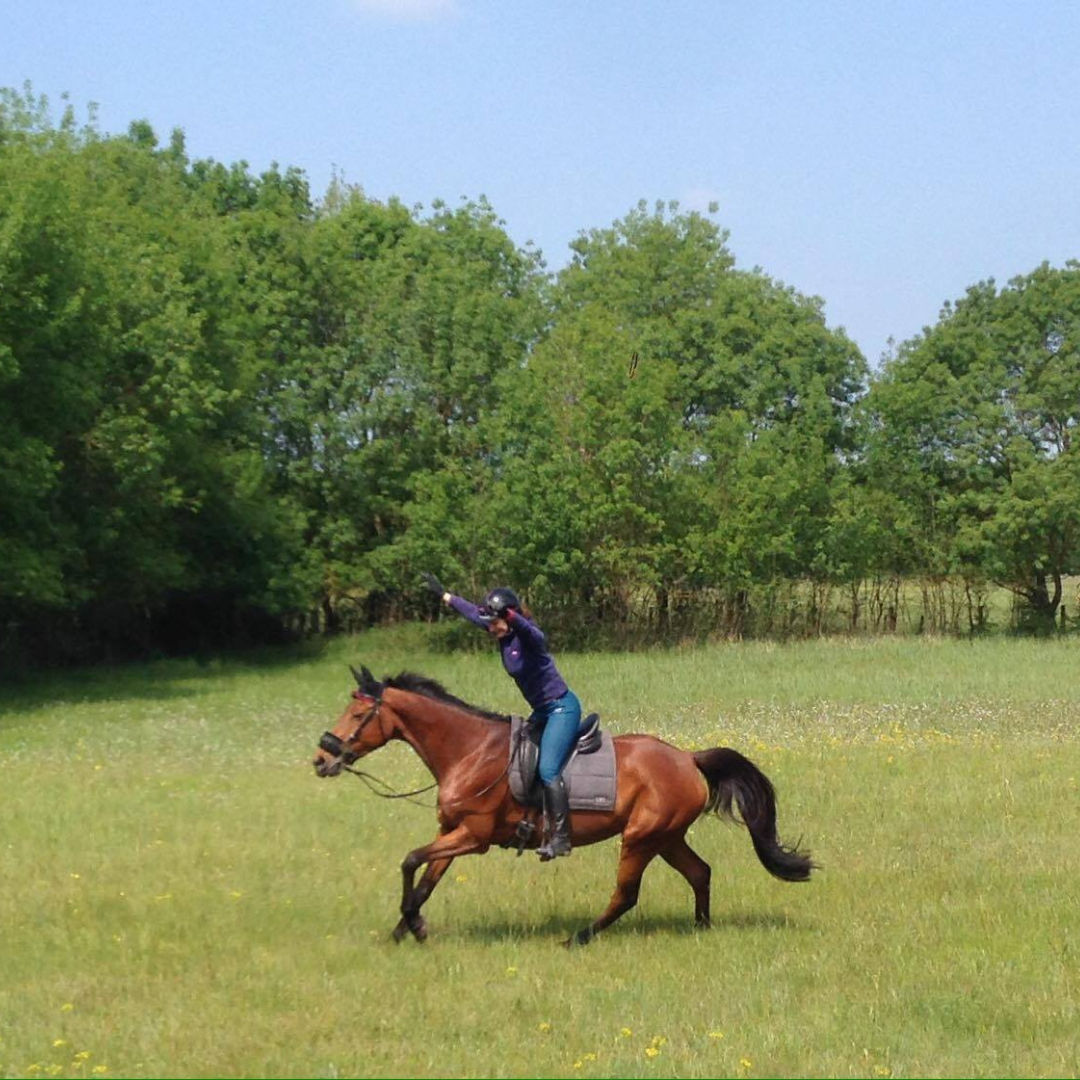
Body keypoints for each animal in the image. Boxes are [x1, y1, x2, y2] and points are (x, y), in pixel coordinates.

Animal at [312, 665, 815, 946]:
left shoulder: (473, 837)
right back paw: (701, 928)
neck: (469, 751)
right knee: (699, 872)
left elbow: (409, 861)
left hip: (641, 837)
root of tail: (688, 758)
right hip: (666, 836)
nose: (322, 758)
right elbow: (424, 880)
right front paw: (405, 929)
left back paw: (578, 938)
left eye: (358, 714)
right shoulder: (450, 833)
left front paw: (411, 926)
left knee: (626, 894)